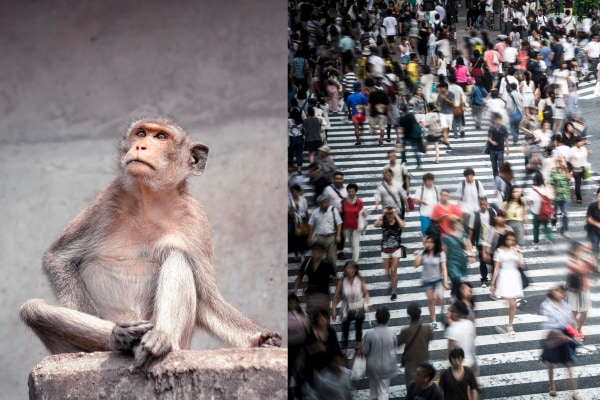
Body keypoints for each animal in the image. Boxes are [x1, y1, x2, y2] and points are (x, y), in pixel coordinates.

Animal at [19, 116, 282, 368]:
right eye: (141, 133)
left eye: (161, 137)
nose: (140, 146)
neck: (150, 201)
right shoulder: (107, 200)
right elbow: (58, 258)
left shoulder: (196, 221)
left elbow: (208, 300)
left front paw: (259, 340)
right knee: (33, 309)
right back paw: (120, 337)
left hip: (180, 341)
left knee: (176, 256)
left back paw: (160, 340)